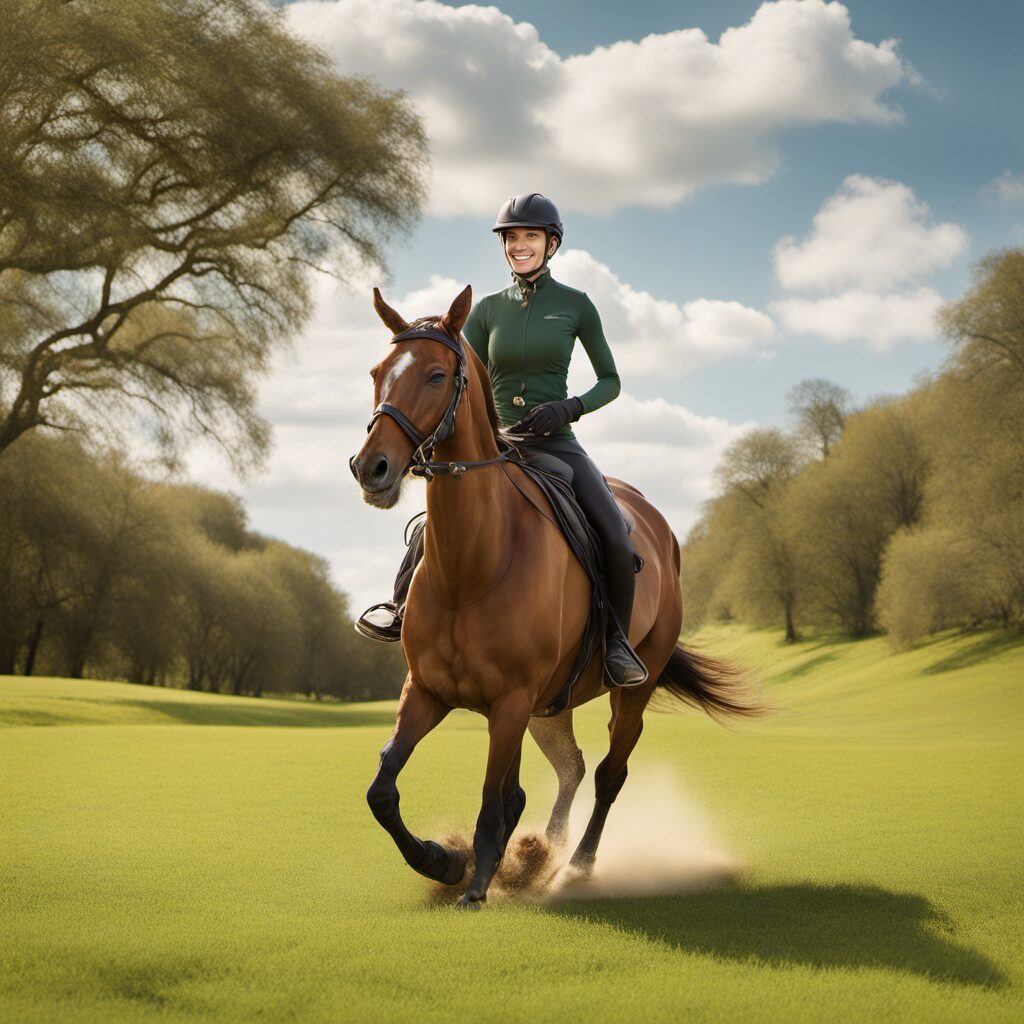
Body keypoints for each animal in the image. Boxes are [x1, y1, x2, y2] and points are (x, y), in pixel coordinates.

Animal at [349, 285, 762, 909]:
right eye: (377, 372)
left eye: (437, 375)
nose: (371, 467)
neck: (474, 564)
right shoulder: (425, 691)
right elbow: (382, 789)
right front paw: (443, 861)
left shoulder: (510, 703)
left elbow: (494, 801)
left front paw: (476, 885)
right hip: (551, 707)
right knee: (570, 769)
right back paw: (540, 857)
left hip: (627, 691)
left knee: (608, 773)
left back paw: (576, 866)